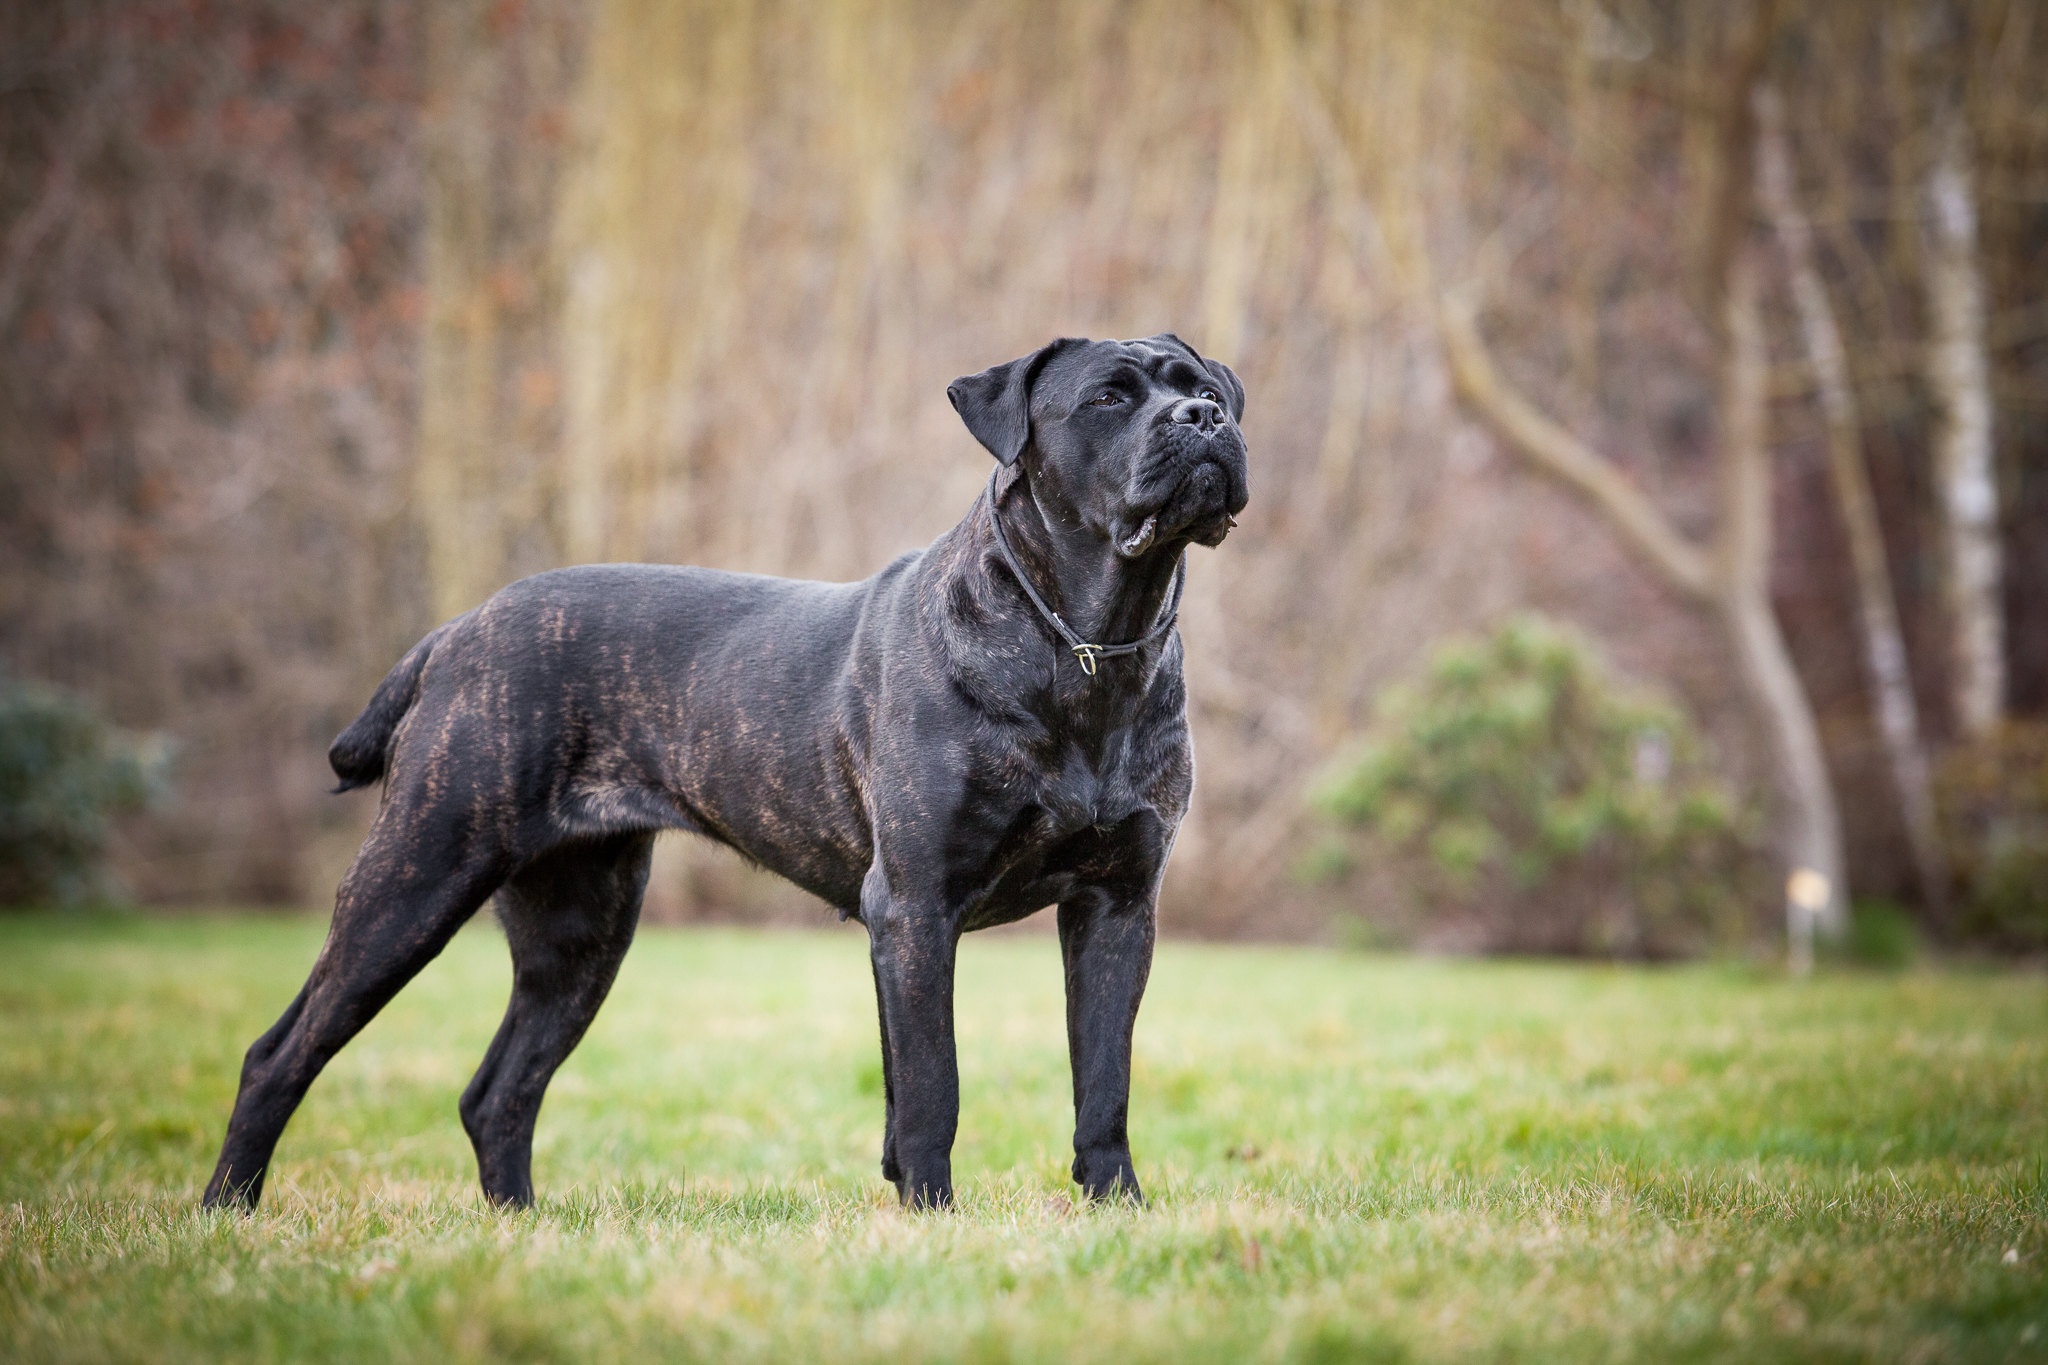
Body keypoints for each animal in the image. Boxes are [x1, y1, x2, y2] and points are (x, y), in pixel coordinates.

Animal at [203, 335, 1245, 1211]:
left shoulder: (1117, 902)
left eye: (1200, 386)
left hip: (580, 925)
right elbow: (931, 1083)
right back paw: (228, 1212)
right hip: (420, 870)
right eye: (1109, 396)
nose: (1204, 419)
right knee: (280, 1052)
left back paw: (520, 1226)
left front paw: (1118, 1211)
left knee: (499, 1088)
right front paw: (935, 1217)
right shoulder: (918, 902)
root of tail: (458, 631)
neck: (1089, 641)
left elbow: (1102, 1077)